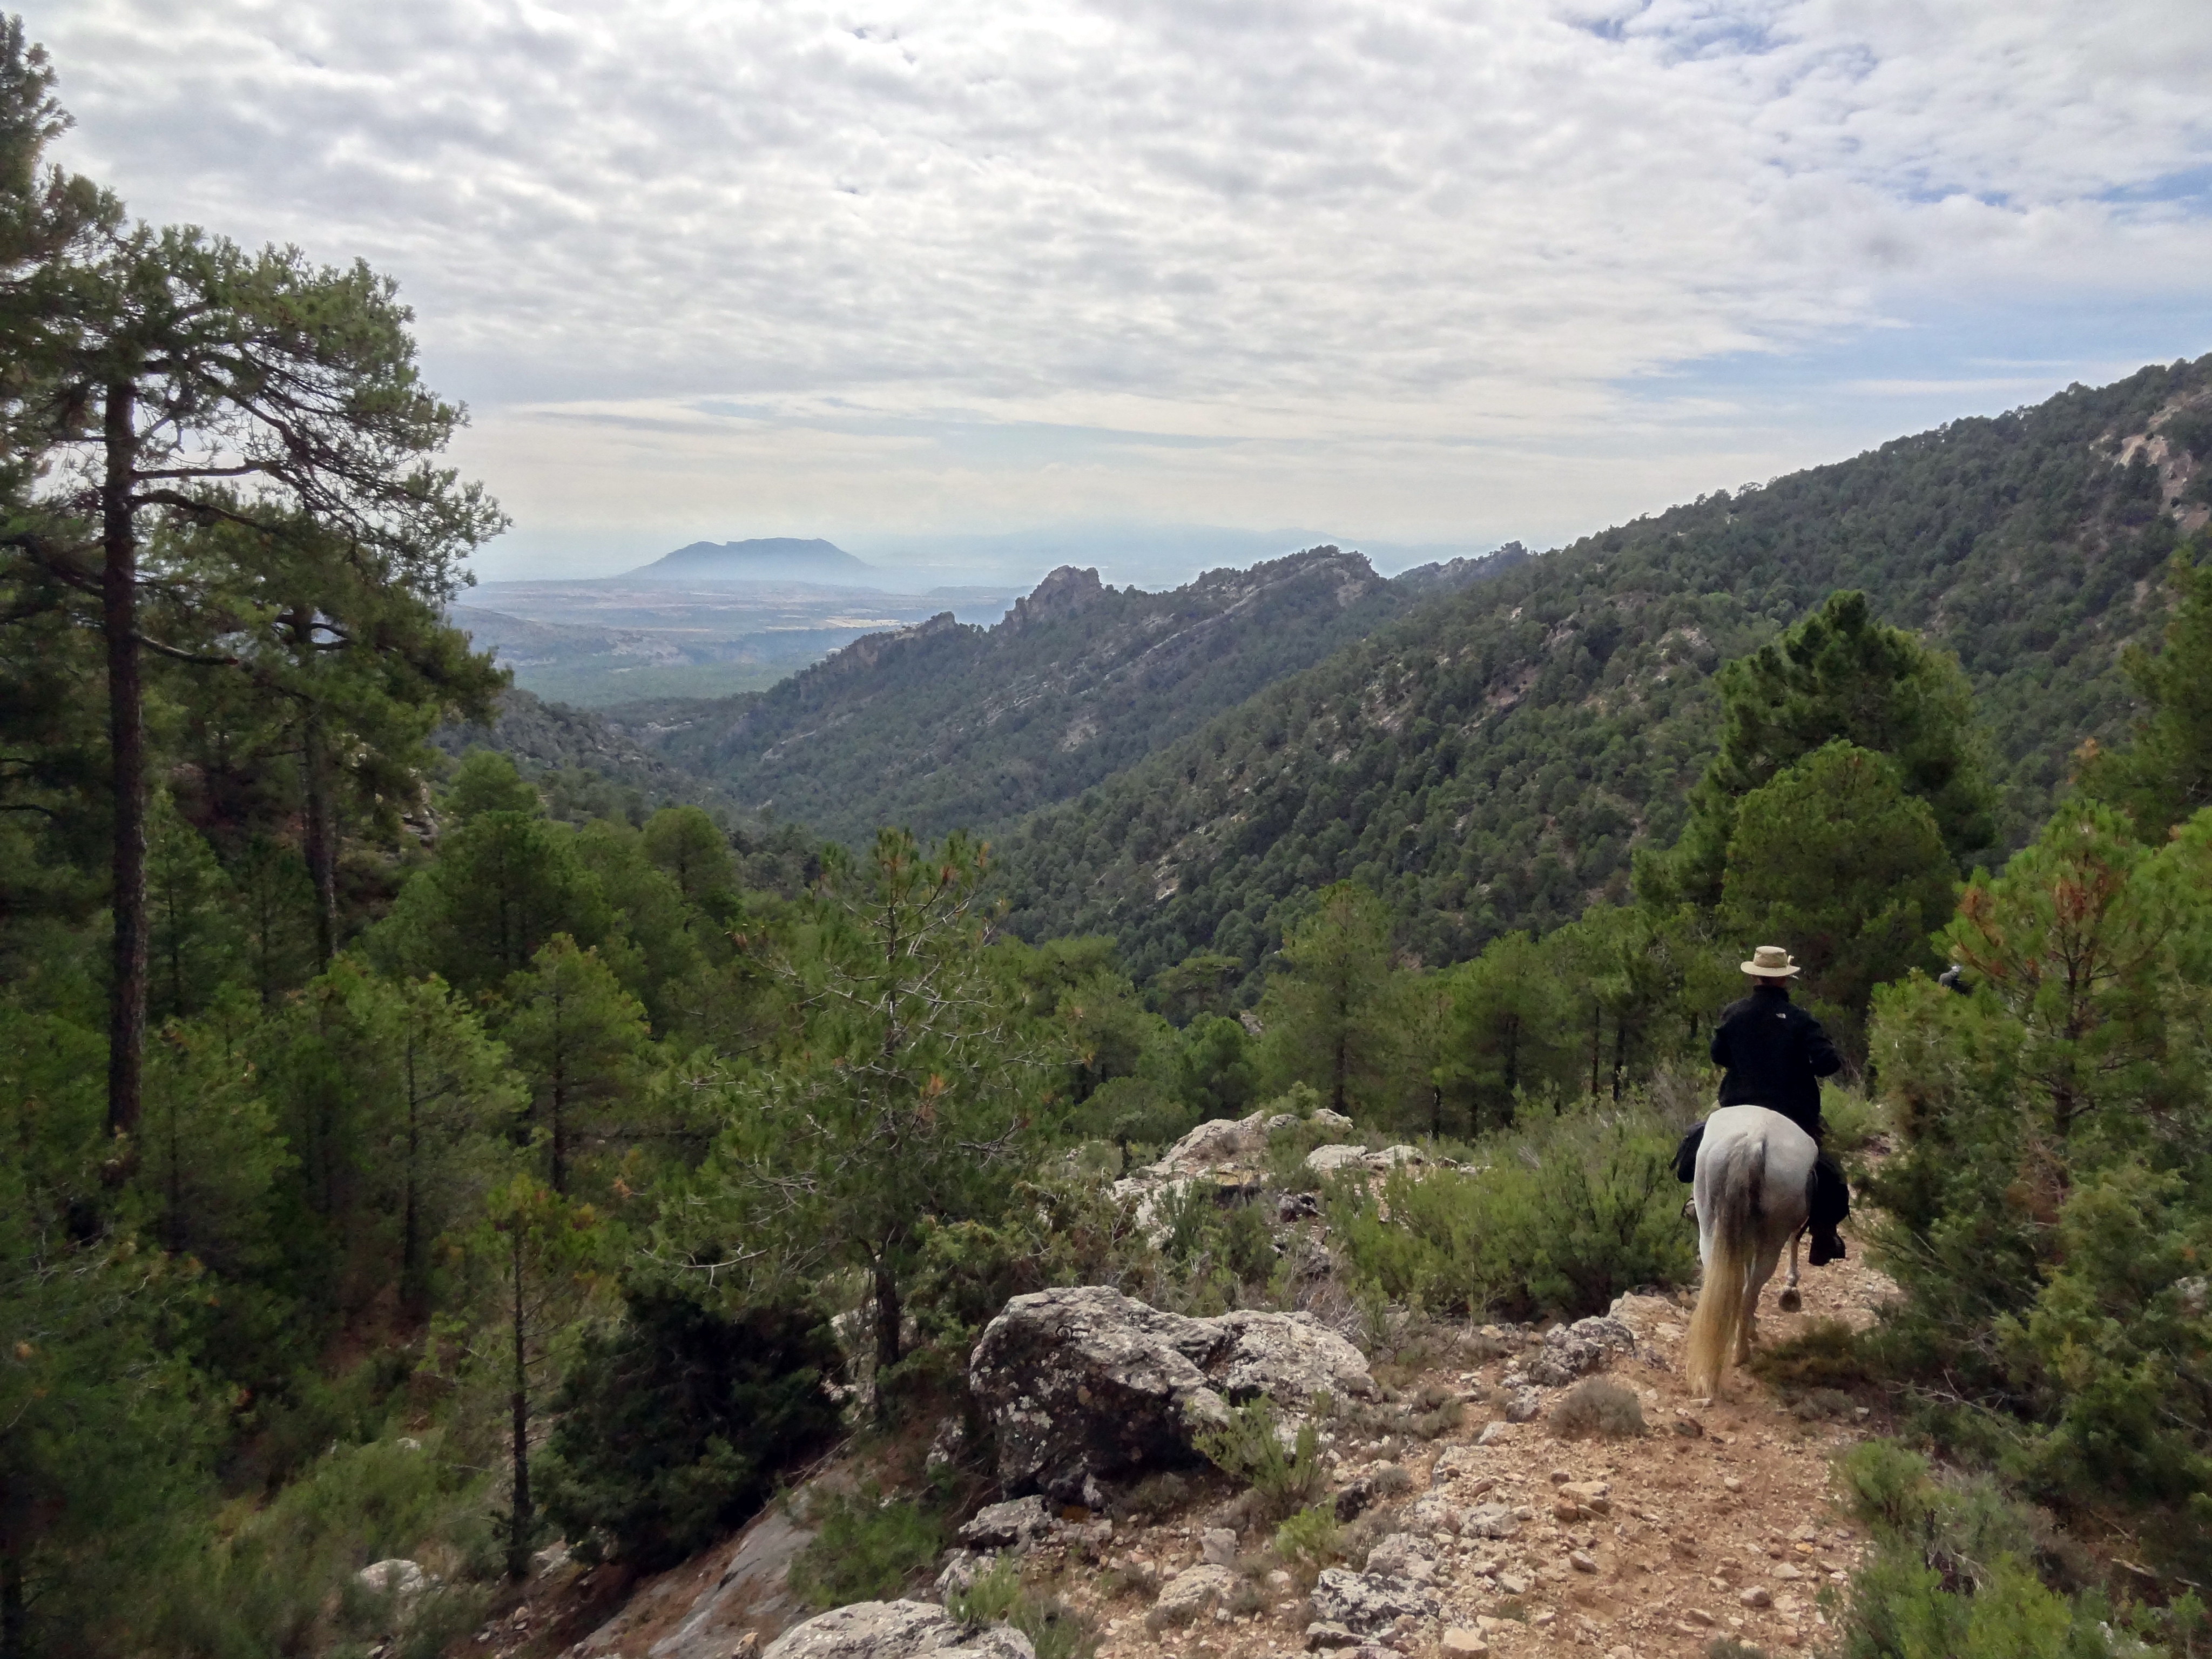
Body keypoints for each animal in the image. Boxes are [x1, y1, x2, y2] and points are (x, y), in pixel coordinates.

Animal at [1684, 1104, 1818, 1399]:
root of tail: (1753, 1140)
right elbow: (1795, 1241)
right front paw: (1791, 1287)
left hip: (1709, 1228)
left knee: (1730, 1283)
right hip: (1772, 1237)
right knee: (1750, 1288)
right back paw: (1741, 1352)